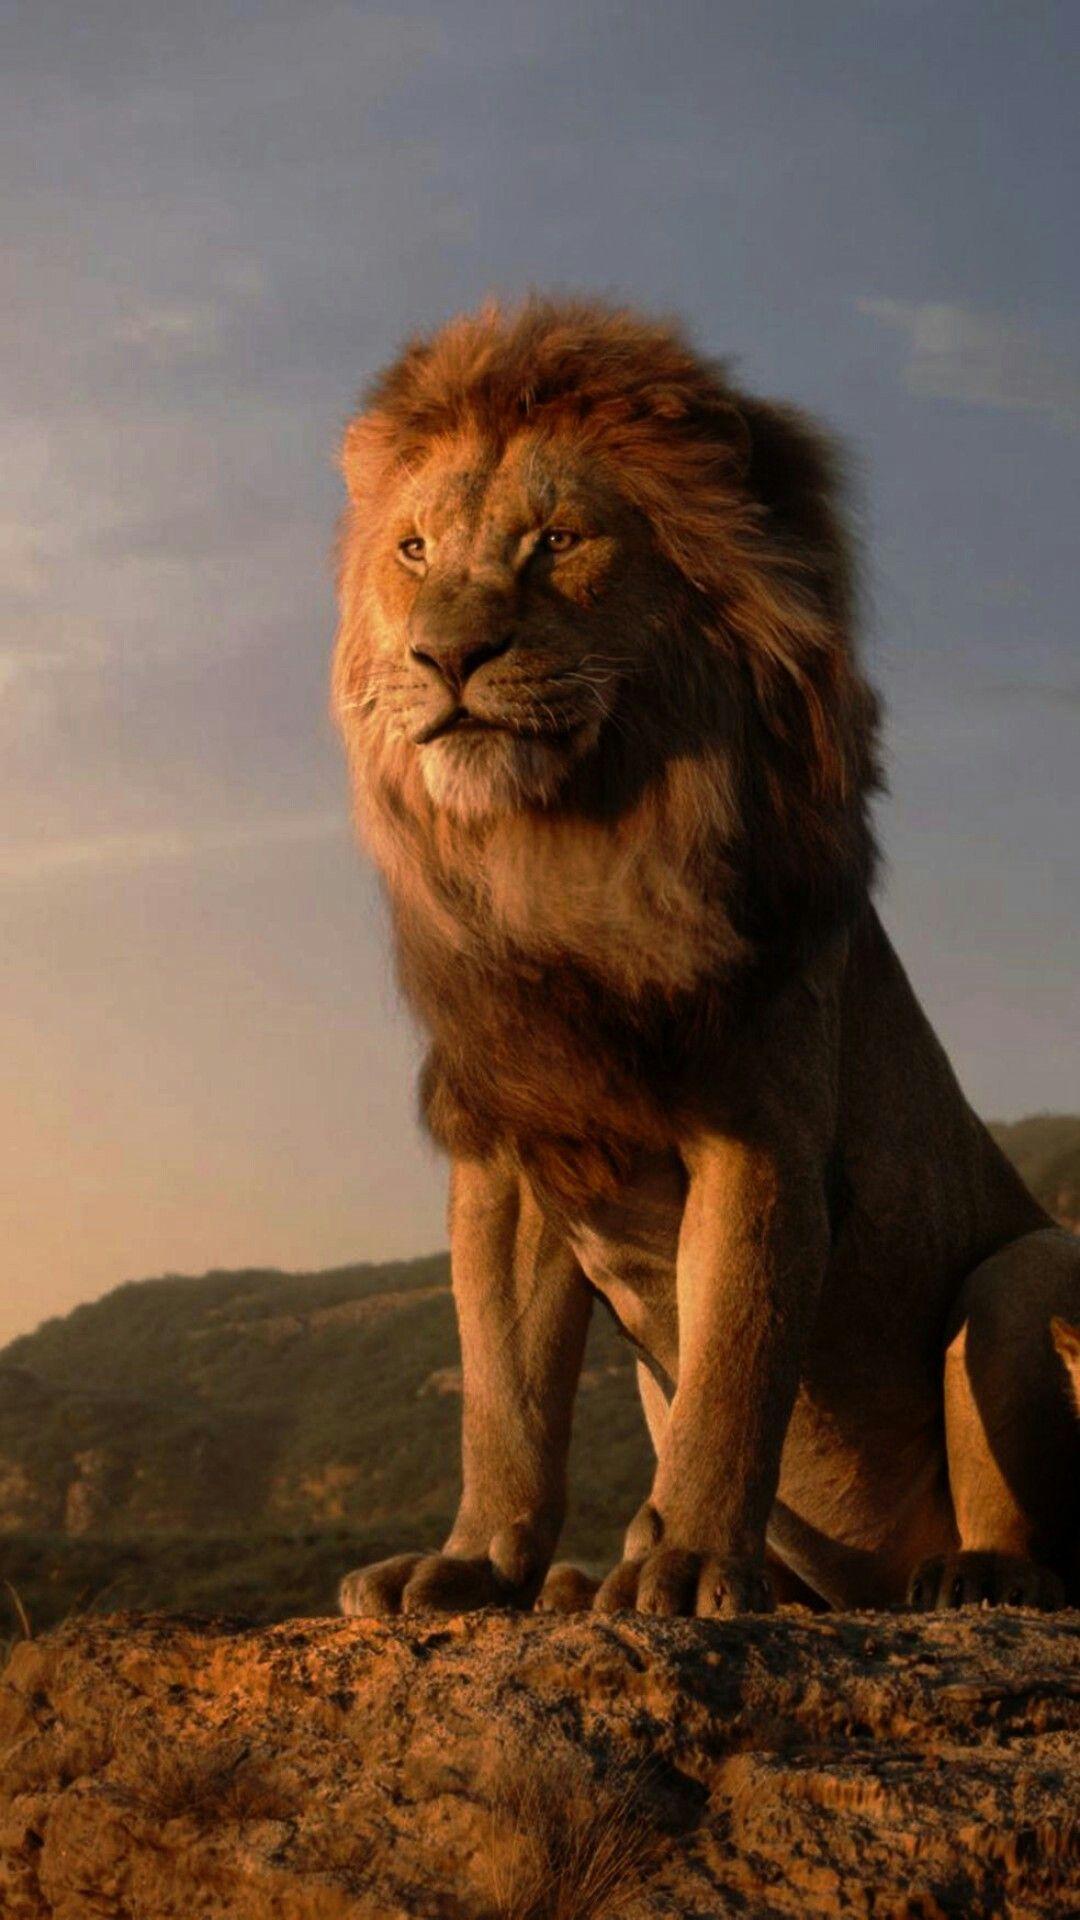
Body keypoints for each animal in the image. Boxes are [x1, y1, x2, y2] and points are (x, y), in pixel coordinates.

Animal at [331, 296, 1080, 1618]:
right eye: (414, 552)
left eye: (558, 539)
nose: (445, 658)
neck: (562, 854)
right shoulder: (509, 1157)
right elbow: (502, 1400)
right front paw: (473, 1566)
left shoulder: (761, 1135)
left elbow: (733, 1371)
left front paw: (680, 1567)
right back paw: (593, 1582)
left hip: (1030, 1270)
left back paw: (970, 1573)